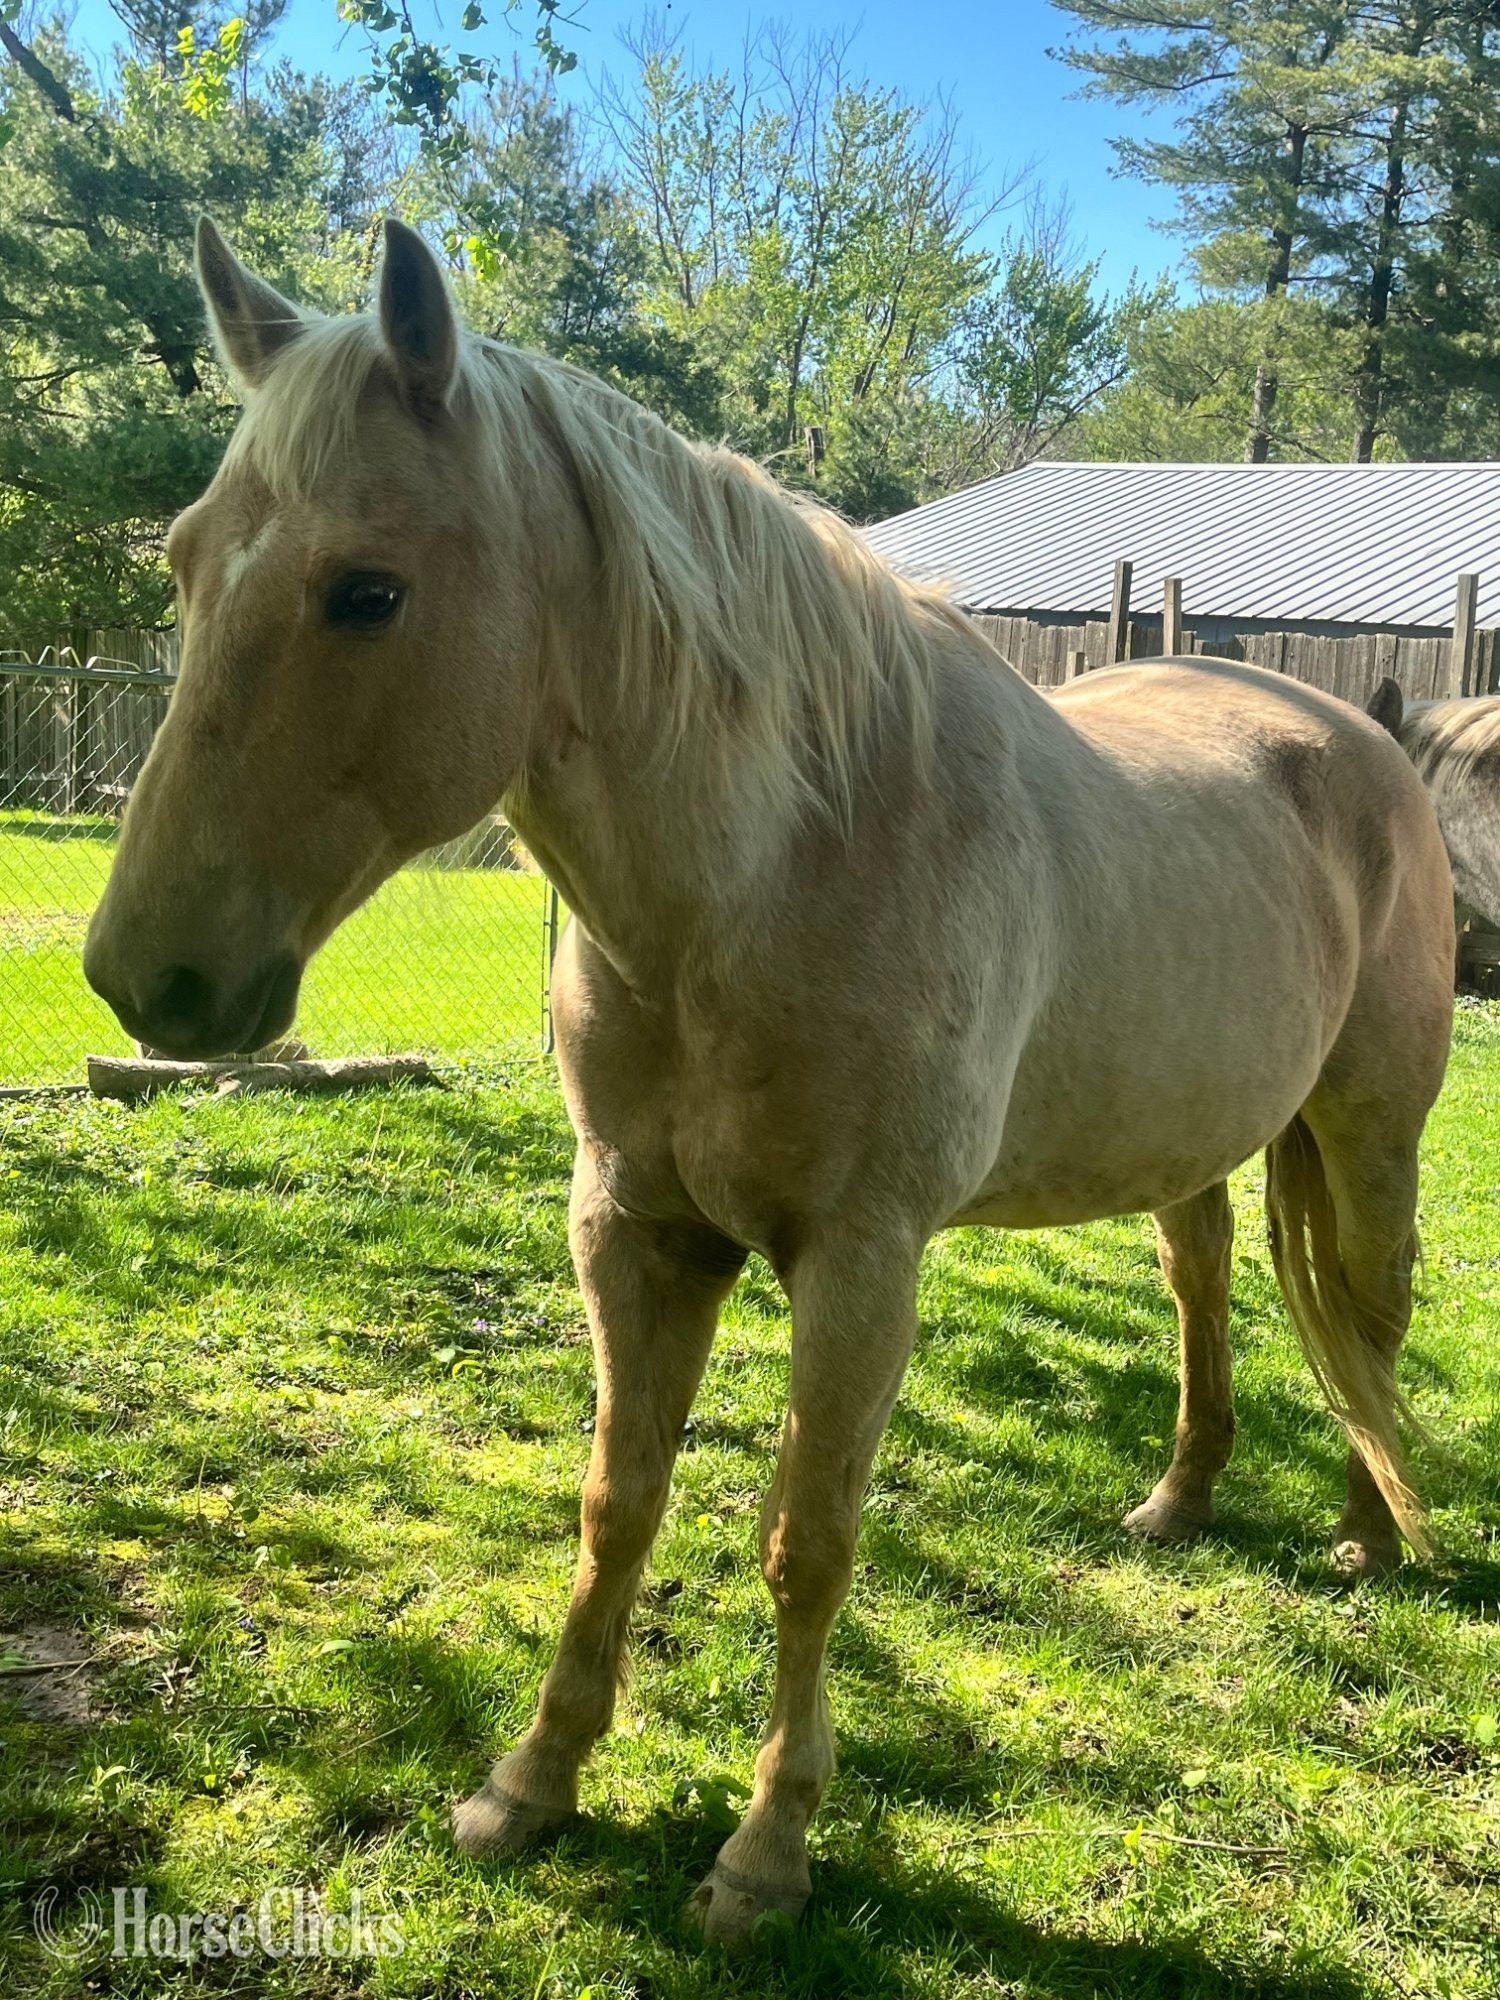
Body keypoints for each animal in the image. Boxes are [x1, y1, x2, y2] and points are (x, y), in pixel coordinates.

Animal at [84, 218, 1456, 1944]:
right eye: (186, 563)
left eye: (368, 591)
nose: (147, 981)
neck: (771, 870)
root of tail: (1356, 729)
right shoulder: (635, 1233)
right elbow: (617, 1509)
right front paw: (529, 1785)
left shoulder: (859, 1265)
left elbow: (808, 1542)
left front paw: (765, 1851)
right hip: (1194, 1134)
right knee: (1206, 1279)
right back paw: (1180, 1498)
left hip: (1372, 1126)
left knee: (1371, 1308)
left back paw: (1368, 1532)